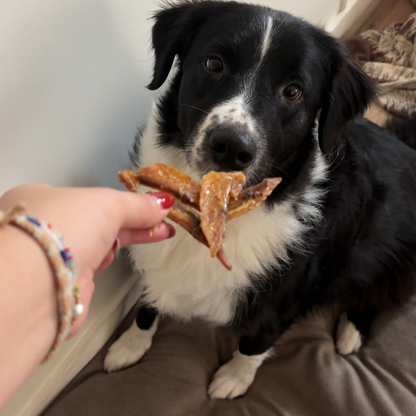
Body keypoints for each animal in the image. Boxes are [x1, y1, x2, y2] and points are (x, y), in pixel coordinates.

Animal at [105, 1, 416, 402]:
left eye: (294, 91)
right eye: (214, 64)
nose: (231, 147)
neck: (216, 203)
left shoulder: (284, 299)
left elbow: (253, 345)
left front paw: (234, 379)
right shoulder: (156, 257)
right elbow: (146, 303)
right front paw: (131, 345)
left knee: (378, 296)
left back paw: (351, 333)